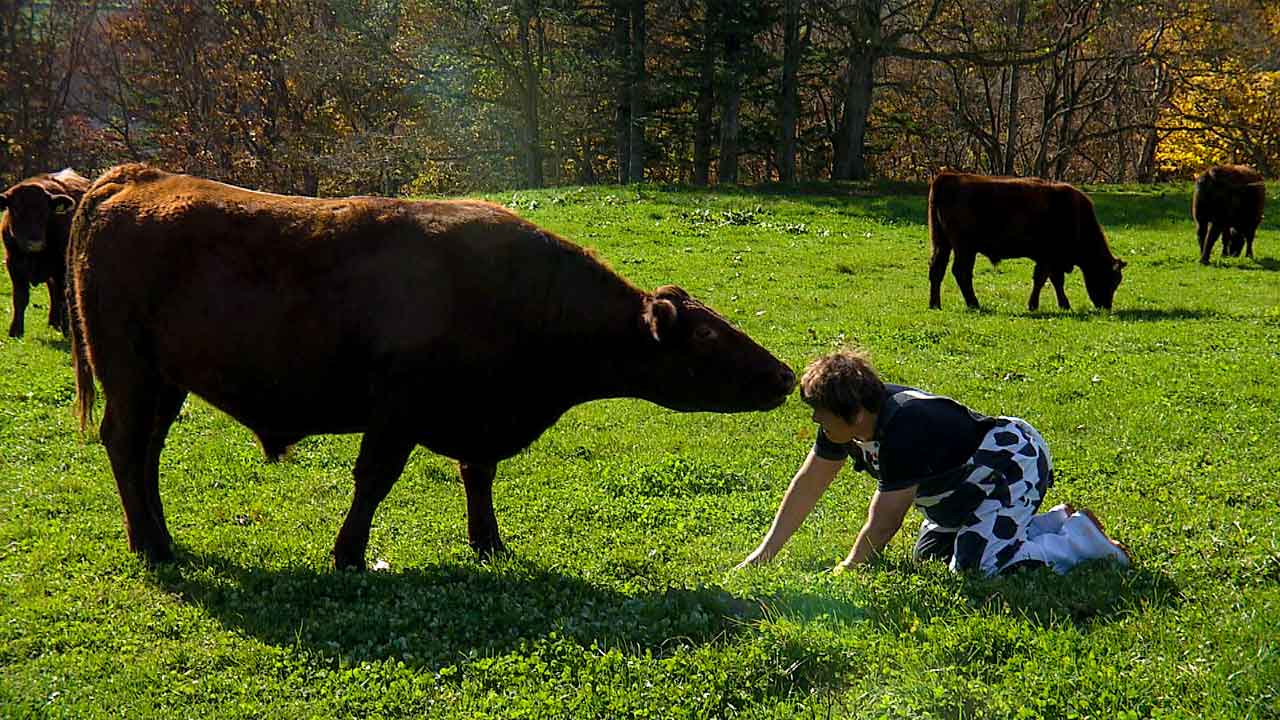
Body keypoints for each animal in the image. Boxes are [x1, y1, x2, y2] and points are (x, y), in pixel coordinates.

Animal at [1, 167, 90, 335]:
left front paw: (66, 329)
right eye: (15, 210)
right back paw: (53, 322)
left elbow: (62, 296)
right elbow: (20, 298)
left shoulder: (61, 267)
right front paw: (16, 330)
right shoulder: (13, 265)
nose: (35, 243)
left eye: (45, 212)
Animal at [70, 163, 793, 566]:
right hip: (130, 373)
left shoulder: (475, 419)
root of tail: (133, 177)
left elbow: (479, 475)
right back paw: (152, 546)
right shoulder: (397, 413)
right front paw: (349, 554)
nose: (785, 375)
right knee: (125, 444)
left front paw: (489, 543)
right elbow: (374, 482)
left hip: (166, 382)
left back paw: (157, 537)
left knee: (147, 452)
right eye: (707, 337)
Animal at [926, 174, 1126, 311]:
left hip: (942, 244)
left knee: (937, 269)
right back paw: (974, 304)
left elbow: (1055, 281)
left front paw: (1063, 304)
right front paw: (1034, 305)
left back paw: (935, 304)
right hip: (964, 248)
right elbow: (1043, 279)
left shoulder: (1052, 260)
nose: (1106, 306)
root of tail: (948, 177)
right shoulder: (1048, 258)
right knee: (961, 272)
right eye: (1110, 279)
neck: (1075, 215)